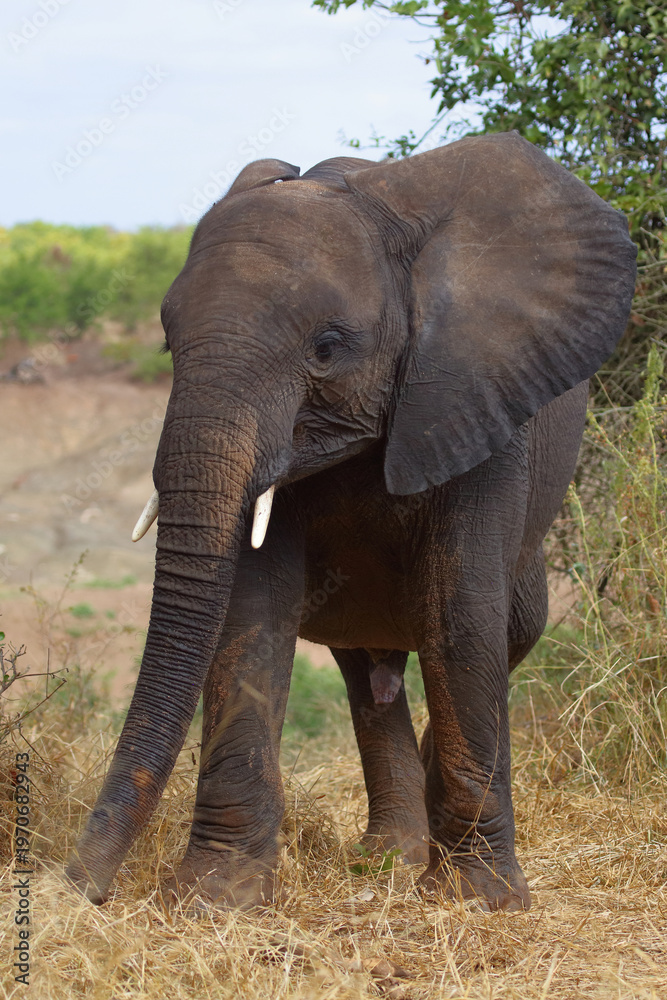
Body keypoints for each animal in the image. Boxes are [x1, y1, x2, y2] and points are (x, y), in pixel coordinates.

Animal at [66, 131, 636, 913]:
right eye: (167, 343)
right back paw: (391, 858)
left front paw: (477, 903)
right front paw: (217, 897)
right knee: (366, 673)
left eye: (327, 348)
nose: (75, 888)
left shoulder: (476, 393)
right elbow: (251, 613)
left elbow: (460, 613)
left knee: (506, 630)